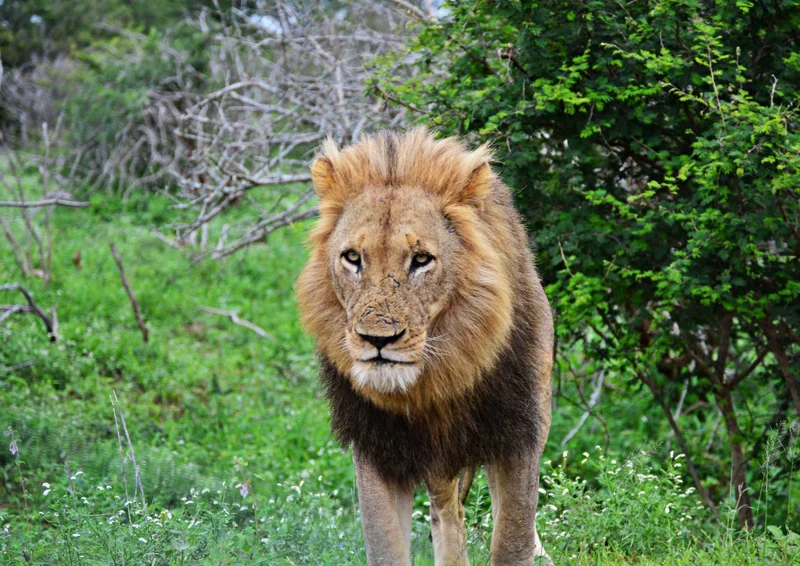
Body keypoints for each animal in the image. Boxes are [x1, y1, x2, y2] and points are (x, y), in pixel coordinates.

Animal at [296, 128, 553, 566]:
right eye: (352, 257)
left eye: (421, 259)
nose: (377, 340)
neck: (434, 382)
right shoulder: (376, 448)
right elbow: (386, 548)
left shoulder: (518, 433)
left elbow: (512, 539)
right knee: (447, 514)